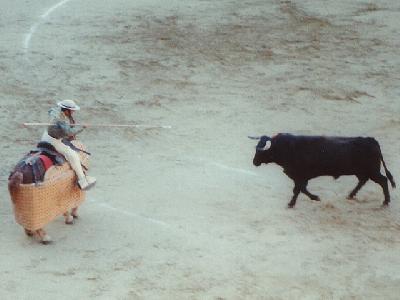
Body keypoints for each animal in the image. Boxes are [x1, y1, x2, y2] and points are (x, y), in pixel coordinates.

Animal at [252, 134, 396, 209]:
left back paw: (386, 201)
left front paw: (292, 203)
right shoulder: (300, 177)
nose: (254, 162)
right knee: (363, 181)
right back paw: (350, 195)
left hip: (372, 171)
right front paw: (313, 198)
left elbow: (298, 189)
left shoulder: (300, 176)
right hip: (363, 171)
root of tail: (372, 141)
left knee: (383, 180)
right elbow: (301, 189)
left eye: (260, 151)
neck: (287, 148)